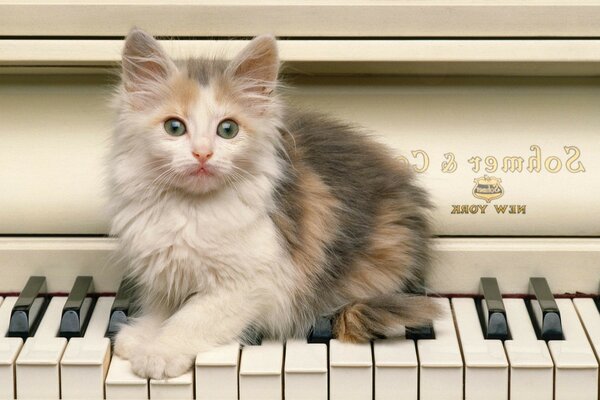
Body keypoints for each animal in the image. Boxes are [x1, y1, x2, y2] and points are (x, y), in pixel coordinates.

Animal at [108, 28, 438, 378]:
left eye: (228, 129)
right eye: (174, 127)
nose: (202, 154)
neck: (190, 208)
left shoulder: (253, 281)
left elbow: (192, 316)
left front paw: (159, 352)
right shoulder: (164, 268)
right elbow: (159, 306)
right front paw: (138, 335)